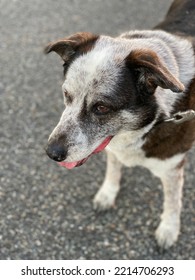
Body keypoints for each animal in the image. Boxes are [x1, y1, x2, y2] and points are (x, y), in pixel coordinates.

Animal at [45, 0, 195, 249]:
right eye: (67, 95)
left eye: (102, 108)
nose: (52, 153)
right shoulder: (112, 147)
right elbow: (113, 169)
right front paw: (108, 193)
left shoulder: (172, 168)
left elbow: (172, 202)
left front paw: (168, 229)